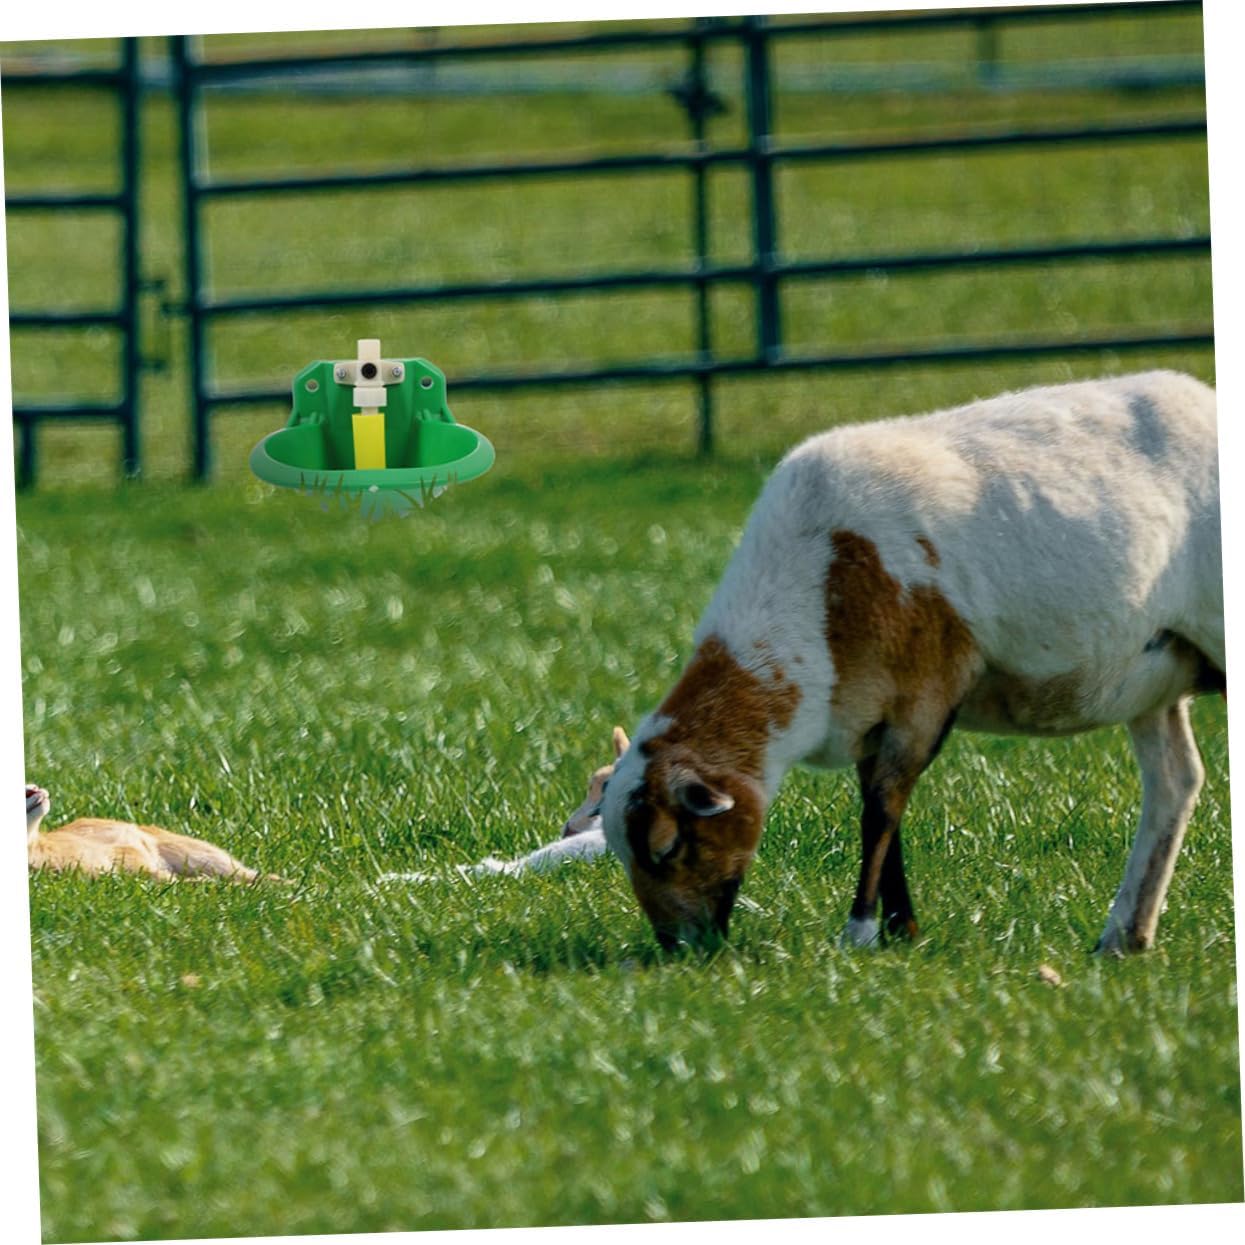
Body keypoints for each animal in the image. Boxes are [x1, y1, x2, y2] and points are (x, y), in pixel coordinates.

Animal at [601, 371, 1224, 955]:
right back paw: (1124, 937)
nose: (680, 948)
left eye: (667, 846)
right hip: (1152, 677)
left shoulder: (925, 695)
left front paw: (860, 930)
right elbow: (885, 814)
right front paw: (902, 930)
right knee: (1174, 783)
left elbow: (881, 810)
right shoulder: (866, 714)